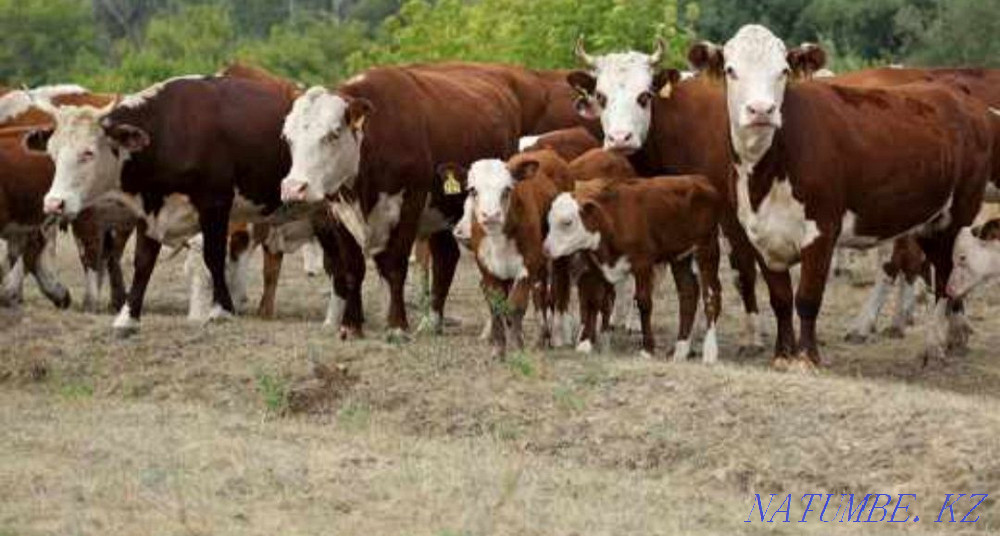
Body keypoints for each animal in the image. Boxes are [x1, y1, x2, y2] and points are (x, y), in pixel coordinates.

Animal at [279, 62, 600, 341]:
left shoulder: (410, 204)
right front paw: (351, 326)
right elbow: (352, 269)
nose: (294, 188)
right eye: (288, 138)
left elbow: (395, 266)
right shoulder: (338, 208)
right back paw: (432, 321)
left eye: (333, 134)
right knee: (446, 258)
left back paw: (489, 328)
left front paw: (397, 326)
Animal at [543, 175, 724, 361]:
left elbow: (643, 302)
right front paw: (585, 343)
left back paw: (709, 352)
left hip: (707, 249)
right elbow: (593, 301)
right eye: (549, 221)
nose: (546, 249)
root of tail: (699, 179)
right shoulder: (595, 265)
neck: (612, 219)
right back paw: (680, 350)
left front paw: (647, 348)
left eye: (567, 222)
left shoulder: (642, 264)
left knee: (711, 296)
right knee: (688, 295)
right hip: (680, 257)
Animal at [567, 39, 767, 355]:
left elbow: (740, 267)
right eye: (601, 96)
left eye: (644, 96)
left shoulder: (729, 214)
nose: (620, 138)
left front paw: (752, 335)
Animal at [688, 24, 1000, 368]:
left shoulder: (822, 230)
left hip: (957, 216)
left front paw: (807, 359)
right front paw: (782, 355)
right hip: (929, 221)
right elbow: (780, 299)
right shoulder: (759, 234)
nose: (761, 110)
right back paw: (952, 336)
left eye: (783, 71)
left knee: (945, 276)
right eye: (731, 70)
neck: (767, 172)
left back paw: (935, 344)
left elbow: (807, 298)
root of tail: (962, 99)